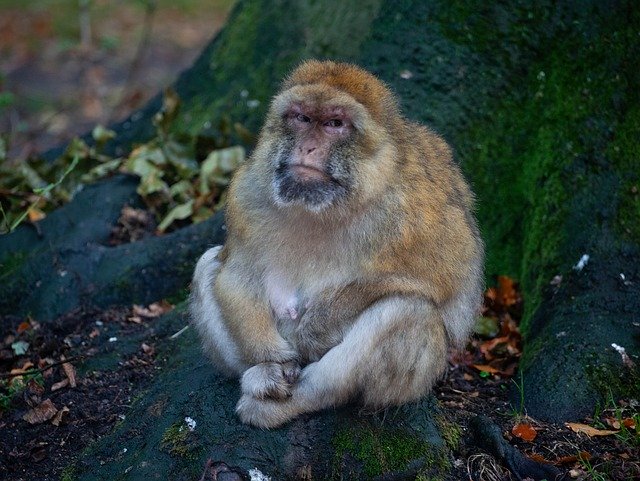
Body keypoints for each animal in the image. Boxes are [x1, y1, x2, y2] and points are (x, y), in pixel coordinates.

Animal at [191, 59, 484, 428]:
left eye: (334, 124)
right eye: (302, 118)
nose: (308, 148)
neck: (326, 207)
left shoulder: (414, 208)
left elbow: (445, 280)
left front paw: (315, 329)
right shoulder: (248, 191)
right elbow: (237, 273)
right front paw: (273, 359)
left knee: (407, 310)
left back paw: (297, 400)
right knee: (208, 264)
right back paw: (261, 375)